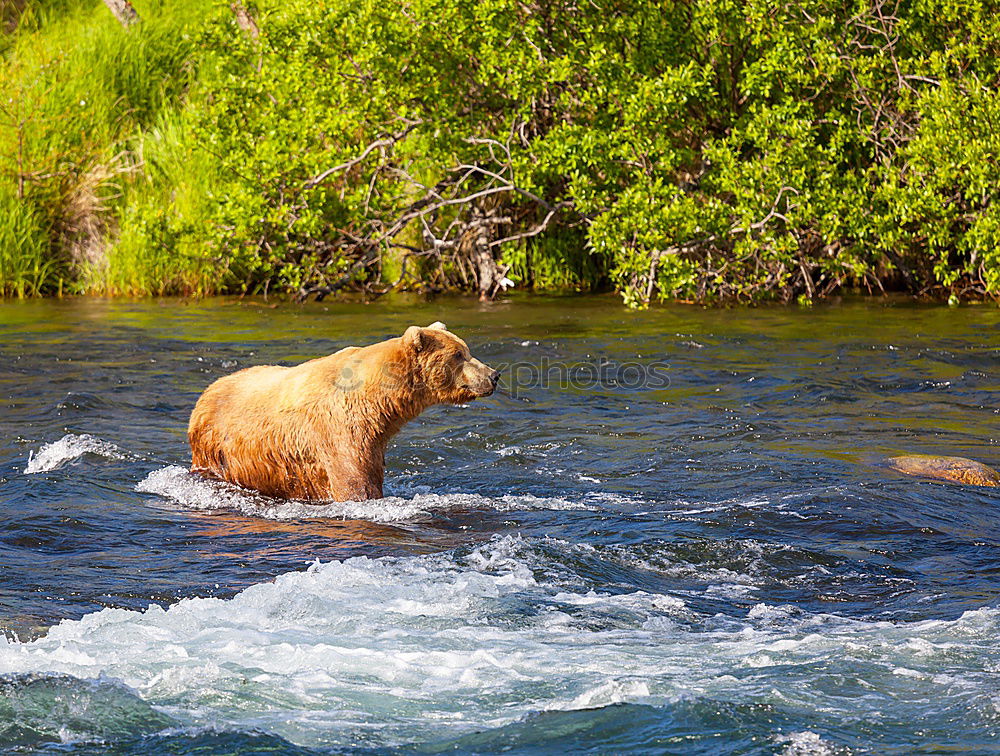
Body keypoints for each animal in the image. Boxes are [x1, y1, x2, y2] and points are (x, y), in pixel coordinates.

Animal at [186, 320, 498, 502]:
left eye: (466, 350)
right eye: (459, 355)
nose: (493, 375)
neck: (378, 401)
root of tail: (206, 391)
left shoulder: (373, 439)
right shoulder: (339, 430)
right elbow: (353, 482)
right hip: (217, 450)